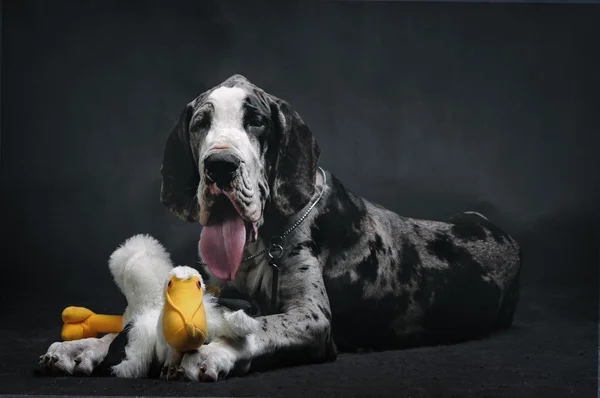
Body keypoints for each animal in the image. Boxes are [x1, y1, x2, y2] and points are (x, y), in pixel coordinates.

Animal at [39, 75, 524, 382]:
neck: (267, 241)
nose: (220, 165)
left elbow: (259, 329)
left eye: (256, 121)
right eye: (201, 122)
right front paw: (83, 347)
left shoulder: (312, 320)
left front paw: (212, 351)